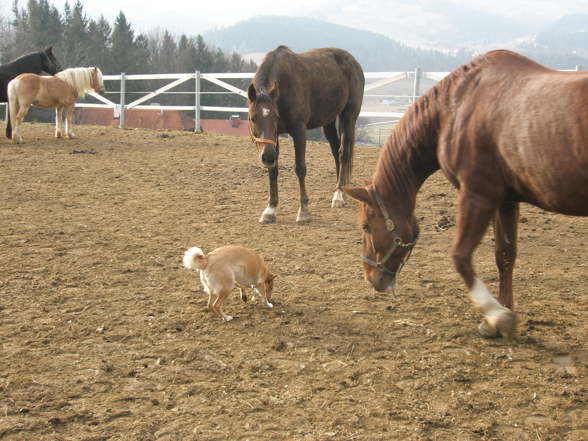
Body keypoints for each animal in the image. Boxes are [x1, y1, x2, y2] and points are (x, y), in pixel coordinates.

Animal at [247, 46, 362, 223]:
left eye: (276, 117)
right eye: (253, 118)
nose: (267, 157)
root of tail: (354, 62)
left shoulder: (299, 130)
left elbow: (300, 168)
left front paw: (304, 211)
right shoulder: (274, 138)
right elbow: (273, 170)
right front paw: (271, 209)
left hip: (349, 116)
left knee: (344, 153)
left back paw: (339, 194)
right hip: (328, 122)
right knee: (336, 151)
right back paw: (340, 190)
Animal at [344, 49, 588, 340]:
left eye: (366, 226)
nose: (371, 277)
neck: (456, 107)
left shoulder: (477, 196)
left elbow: (460, 256)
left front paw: (498, 315)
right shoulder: (506, 201)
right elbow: (505, 256)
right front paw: (496, 318)